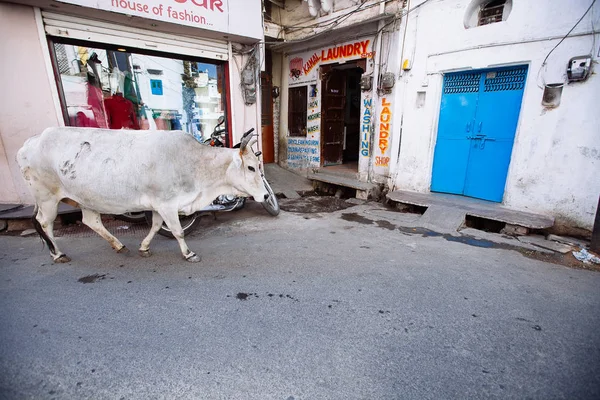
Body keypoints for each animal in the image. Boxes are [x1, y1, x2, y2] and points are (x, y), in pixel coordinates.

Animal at [15, 127, 268, 262]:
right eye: (251, 167)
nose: (266, 196)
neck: (194, 164)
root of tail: (30, 142)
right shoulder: (167, 204)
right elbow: (177, 231)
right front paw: (188, 254)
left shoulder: (158, 206)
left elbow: (155, 227)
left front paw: (144, 247)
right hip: (47, 197)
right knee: (45, 223)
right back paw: (58, 254)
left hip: (85, 197)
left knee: (91, 221)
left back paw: (118, 245)